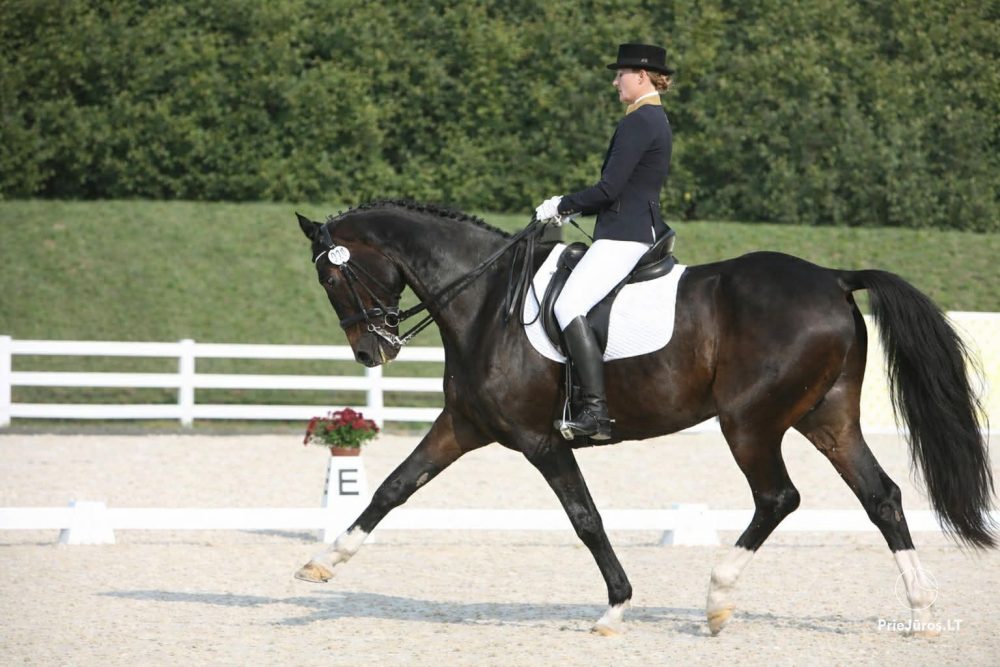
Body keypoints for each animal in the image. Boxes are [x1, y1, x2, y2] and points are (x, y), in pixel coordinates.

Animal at [292, 200, 995, 636]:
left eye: (333, 279)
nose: (372, 352)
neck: (487, 300)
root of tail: (833, 277)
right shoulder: (464, 425)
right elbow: (393, 487)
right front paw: (324, 562)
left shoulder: (539, 440)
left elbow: (586, 518)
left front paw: (615, 609)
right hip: (828, 418)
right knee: (882, 496)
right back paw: (921, 611)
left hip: (750, 421)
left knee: (778, 497)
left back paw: (717, 600)